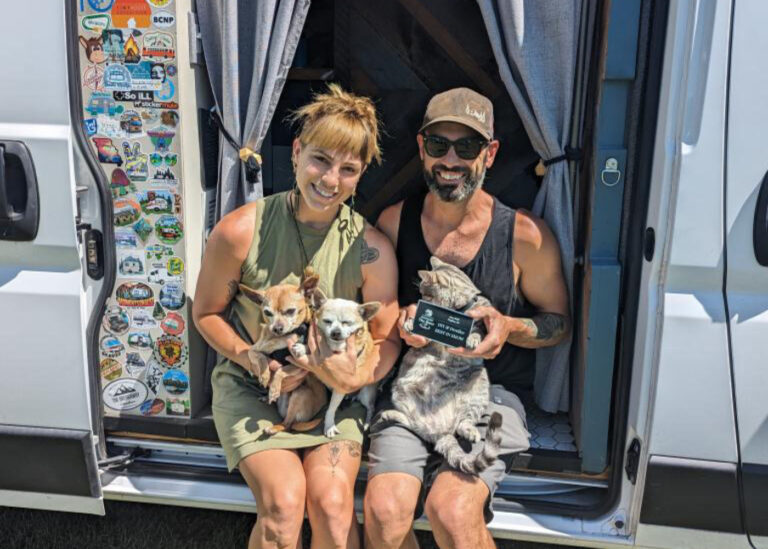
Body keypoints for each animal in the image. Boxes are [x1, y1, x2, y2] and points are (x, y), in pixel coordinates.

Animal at [380, 255, 504, 474]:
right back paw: (389, 414)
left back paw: (470, 431)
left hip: (479, 384)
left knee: (463, 422)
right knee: (413, 423)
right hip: (399, 390)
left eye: (424, 292)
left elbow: (478, 332)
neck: (454, 310)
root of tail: (441, 430)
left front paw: (472, 339)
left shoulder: (484, 324)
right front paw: (410, 323)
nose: (419, 299)